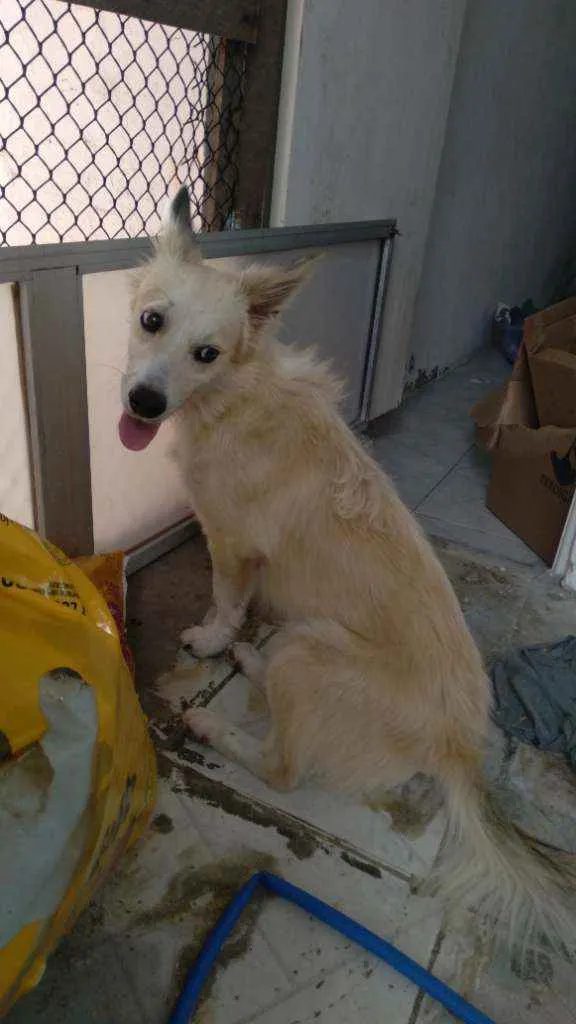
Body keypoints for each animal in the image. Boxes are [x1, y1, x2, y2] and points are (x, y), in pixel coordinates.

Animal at [119, 190, 573, 958]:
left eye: (206, 354)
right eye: (152, 321)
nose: (143, 403)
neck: (234, 396)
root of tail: (459, 745)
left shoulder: (231, 544)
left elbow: (223, 602)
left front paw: (210, 640)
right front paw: (227, 644)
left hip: (313, 656)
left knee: (283, 768)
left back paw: (215, 723)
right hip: (305, 642)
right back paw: (252, 659)